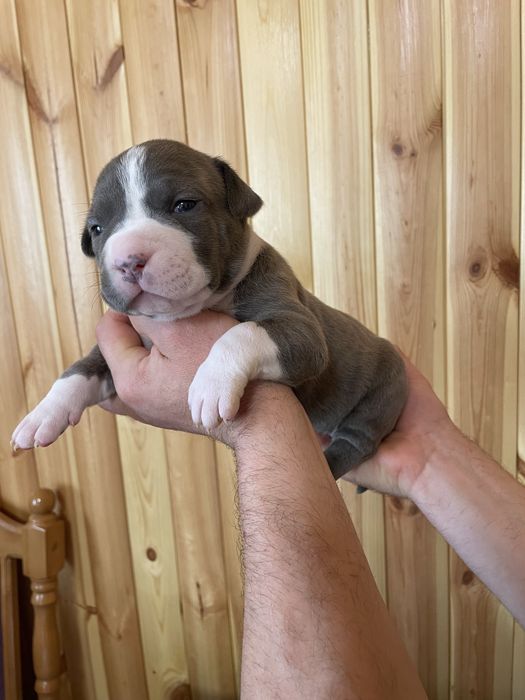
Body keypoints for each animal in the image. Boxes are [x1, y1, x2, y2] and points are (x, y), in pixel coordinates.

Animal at [11, 140, 407, 480]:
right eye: (96, 228)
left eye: (184, 205)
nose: (127, 261)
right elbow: (82, 367)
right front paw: (43, 413)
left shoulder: (302, 331)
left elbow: (242, 332)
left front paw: (211, 384)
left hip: (383, 391)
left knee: (359, 440)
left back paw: (327, 464)